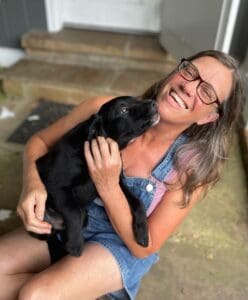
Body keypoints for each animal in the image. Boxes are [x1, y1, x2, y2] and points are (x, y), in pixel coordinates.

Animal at [34, 96, 158, 255]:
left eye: (136, 99)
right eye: (123, 110)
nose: (154, 103)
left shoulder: (116, 182)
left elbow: (137, 201)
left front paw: (142, 233)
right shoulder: (57, 187)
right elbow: (74, 213)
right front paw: (75, 246)